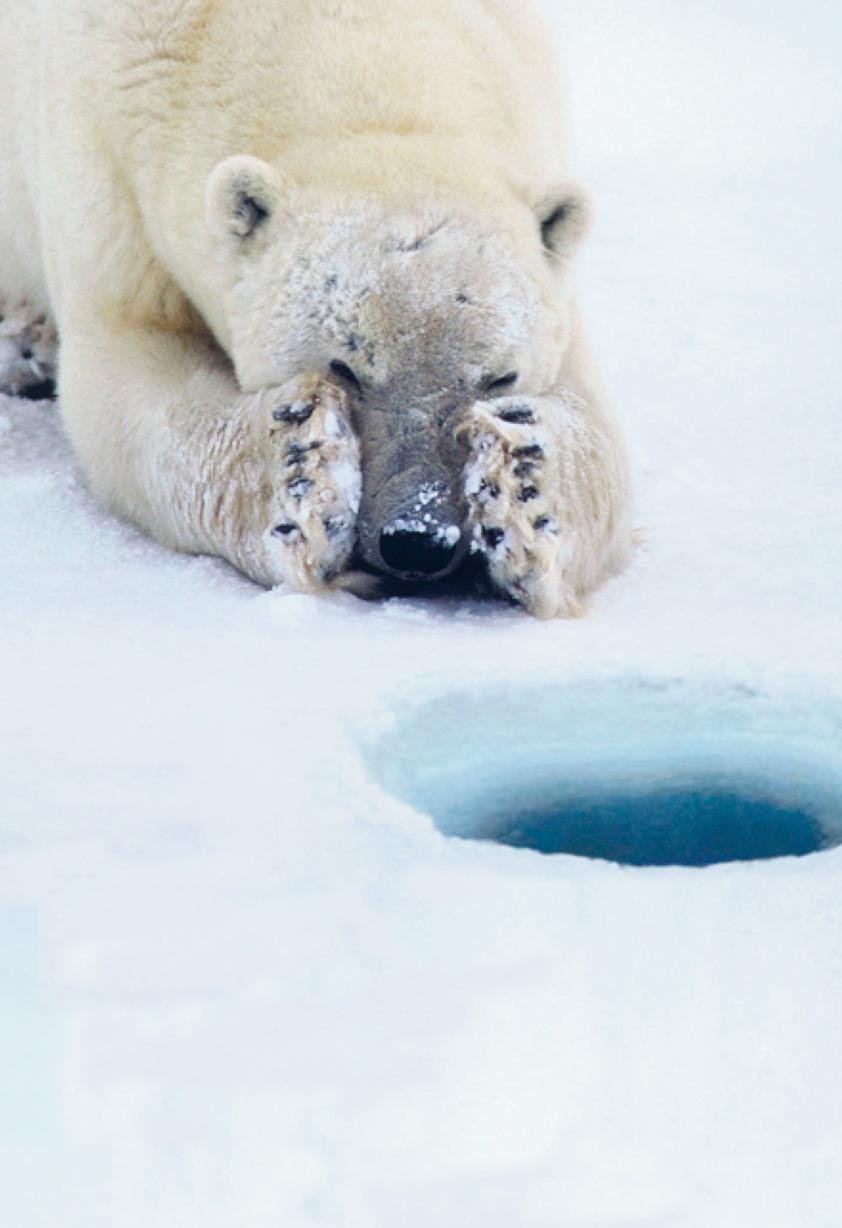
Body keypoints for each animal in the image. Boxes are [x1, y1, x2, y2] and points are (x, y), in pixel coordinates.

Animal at [0, 0, 632, 618]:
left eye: (500, 376)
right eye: (344, 367)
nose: (419, 540)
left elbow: (596, 421)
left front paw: (525, 490)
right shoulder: (104, 166)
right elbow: (129, 377)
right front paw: (300, 479)